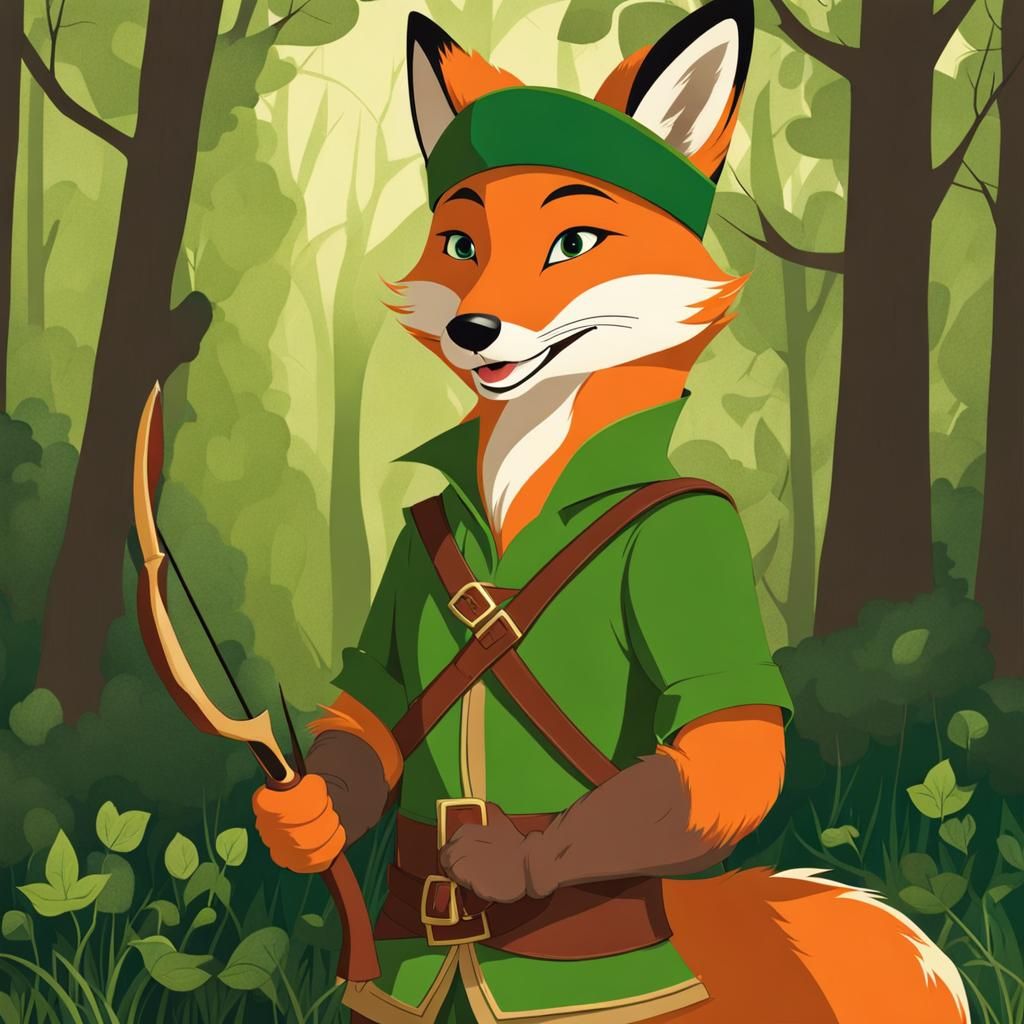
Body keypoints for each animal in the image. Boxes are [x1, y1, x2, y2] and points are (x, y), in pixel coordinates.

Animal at [253, 2, 970, 1022]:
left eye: (574, 243)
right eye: (460, 245)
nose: (474, 328)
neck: (521, 481)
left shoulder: (694, 544)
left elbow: (728, 746)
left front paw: (503, 862)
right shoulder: (408, 557)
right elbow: (374, 707)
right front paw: (303, 821)